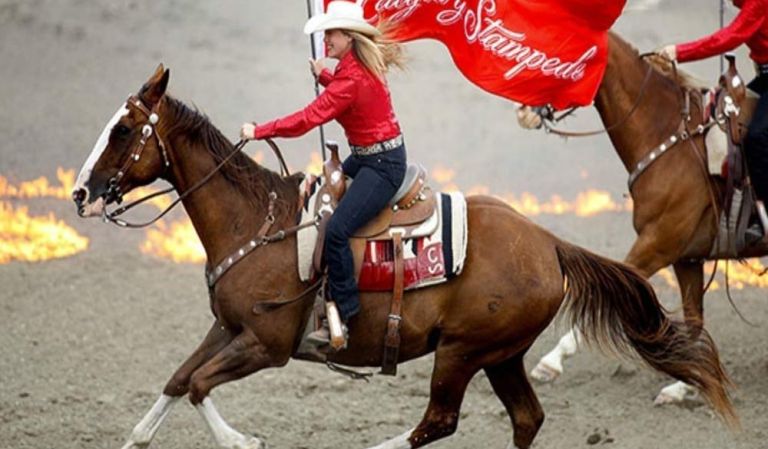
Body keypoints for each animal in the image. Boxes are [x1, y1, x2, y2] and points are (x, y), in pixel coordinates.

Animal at [75, 65, 736, 448]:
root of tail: (550, 243)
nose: (81, 193)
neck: (258, 222)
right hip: (501, 355)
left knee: (438, 422)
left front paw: (243, 442)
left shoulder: (267, 345)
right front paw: (137, 437)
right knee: (525, 419)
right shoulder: (227, 327)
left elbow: (198, 385)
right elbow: (179, 378)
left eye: (123, 130)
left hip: (462, 352)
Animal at [528, 32, 768, 402]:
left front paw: (550, 362)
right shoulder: (686, 257)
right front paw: (686, 385)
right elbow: (694, 319)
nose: (525, 111)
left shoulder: (657, 244)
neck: (670, 136)